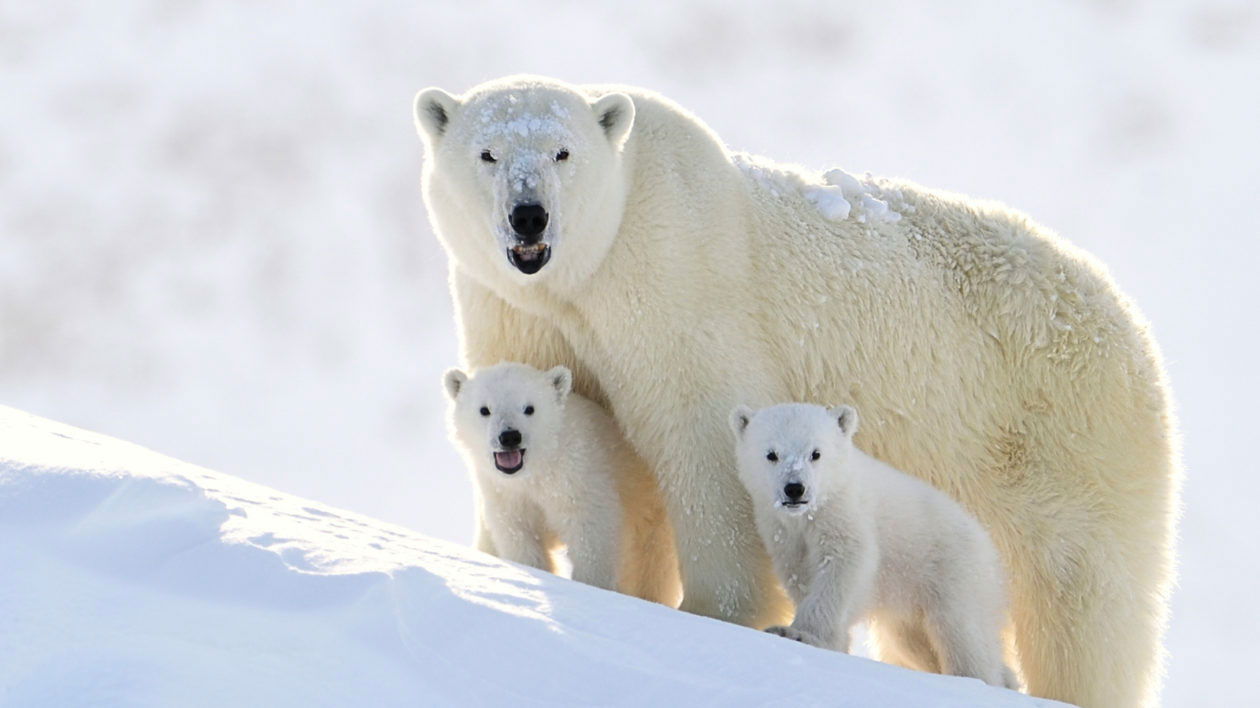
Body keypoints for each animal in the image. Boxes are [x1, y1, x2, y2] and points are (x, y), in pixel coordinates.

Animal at [443, 361, 680, 606]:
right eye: (484, 410)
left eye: (529, 408)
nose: (509, 437)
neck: (540, 468)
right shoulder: (505, 493)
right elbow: (519, 535)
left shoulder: (579, 476)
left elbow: (591, 533)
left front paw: (591, 586)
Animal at [730, 402, 1018, 690]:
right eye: (771, 454)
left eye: (816, 453)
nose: (794, 489)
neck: (813, 512)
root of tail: (991, 550)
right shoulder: (783, 532)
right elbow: (799, 574)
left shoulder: (846, 514)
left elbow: (843, 567)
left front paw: (800, 634)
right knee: (916, 643)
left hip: (956, 573)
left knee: (963, 634)